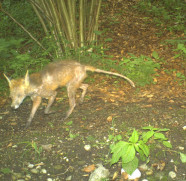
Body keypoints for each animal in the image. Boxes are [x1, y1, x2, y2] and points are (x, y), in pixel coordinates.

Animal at [4, 60, 135, 128]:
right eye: (11, 97)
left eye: (19, 96)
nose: (12, 107)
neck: (34, 86)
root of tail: (82, 65)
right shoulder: (37, 99)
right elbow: (31, 114)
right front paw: (27, 124)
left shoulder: (53, 93)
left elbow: (45, 110)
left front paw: (52, 112)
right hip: (73, 85)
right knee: (86, 86)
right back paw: (81, 100)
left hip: (70, 87)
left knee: (73, 104)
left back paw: (66, 116)